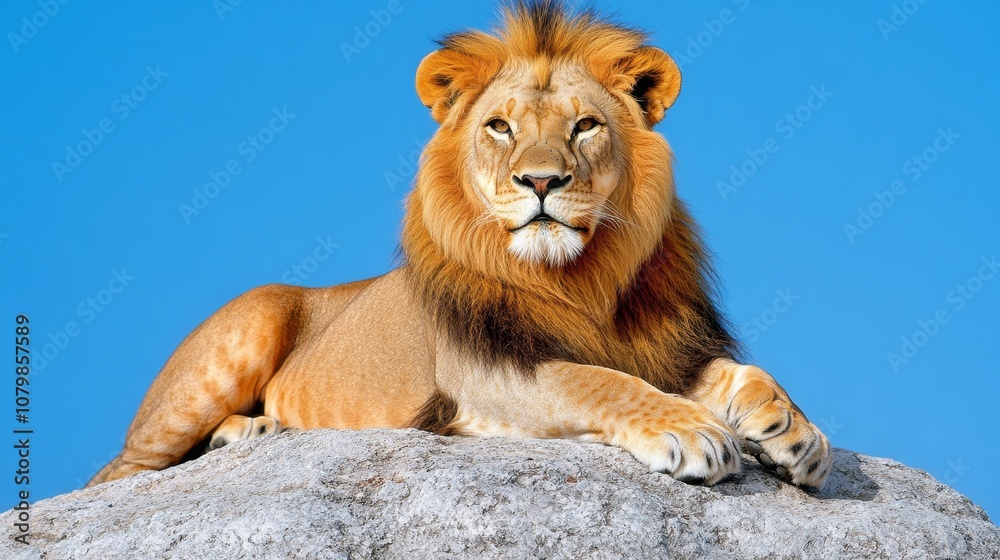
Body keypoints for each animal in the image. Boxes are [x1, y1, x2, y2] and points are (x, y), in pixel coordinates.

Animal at [89, 1, 832, 489]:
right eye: (500, 127)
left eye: (585, 126)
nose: (541, 180)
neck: (579, 280)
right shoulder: (487, 375)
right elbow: (595, 380)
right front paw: (691, 430)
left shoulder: (668, 347)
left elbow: (744, 374)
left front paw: (794, 431)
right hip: (241, 332)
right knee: (118, 472)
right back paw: (245, 431)